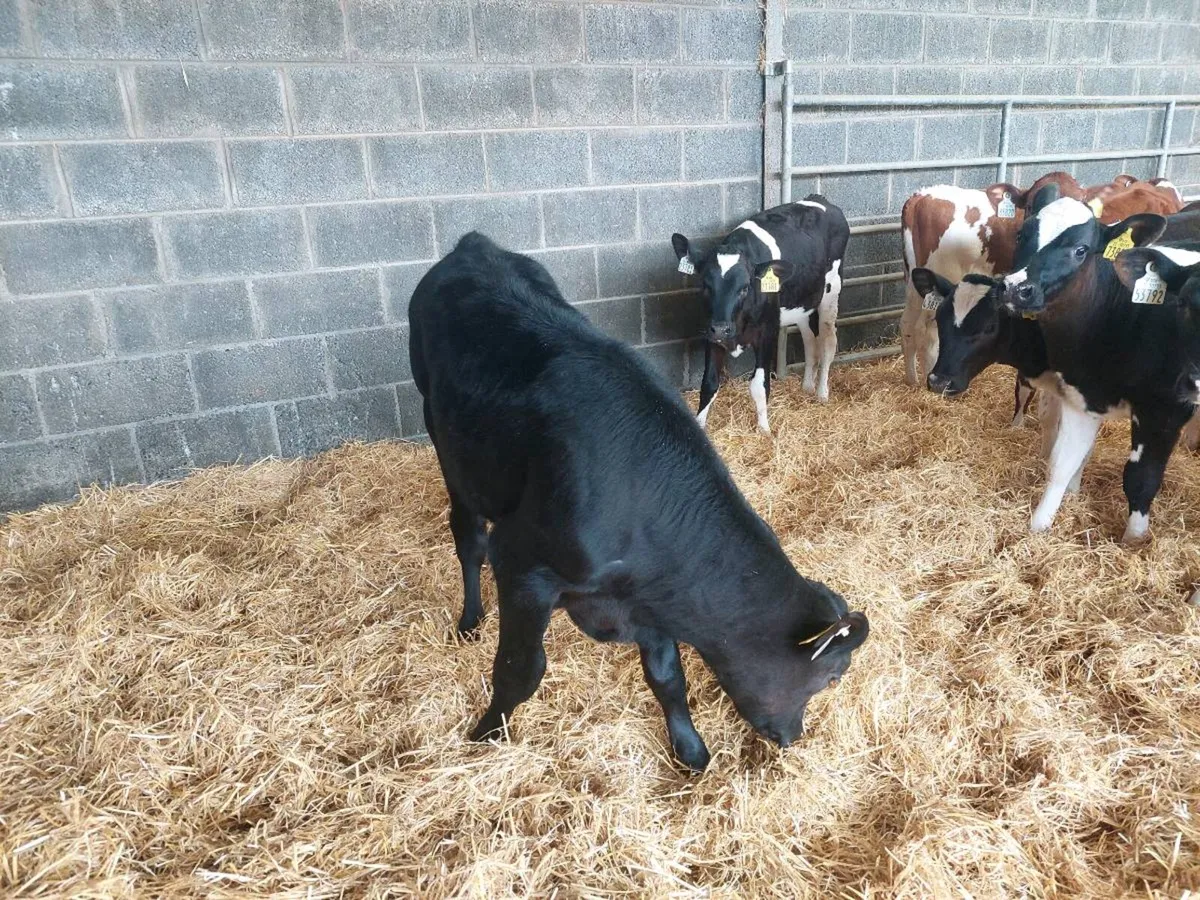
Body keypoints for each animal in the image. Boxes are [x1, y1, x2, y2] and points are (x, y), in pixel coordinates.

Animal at [409, 232, 870, 772]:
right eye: (831, 677)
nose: (792, 736)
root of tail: (474, 245)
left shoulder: (649, 598)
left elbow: (668, 674)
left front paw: (690, 750)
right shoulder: (522, 566)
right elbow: (520, 669)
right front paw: (486, 733)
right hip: (444, 438)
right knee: (468, 538)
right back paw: (469, 621)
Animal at [671, 195, 850, 433]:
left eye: (745, 287)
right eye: (706, 285)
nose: (721, 328)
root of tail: (819, 199)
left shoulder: (766, 333)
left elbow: (759, 384)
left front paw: (764, 430)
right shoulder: (712, 334)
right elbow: (709, 382)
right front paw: (699, 425)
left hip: (831, 291)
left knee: (828, 342)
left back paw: (821, 394)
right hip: (802, 304)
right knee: (810, 341)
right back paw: (807, 386)